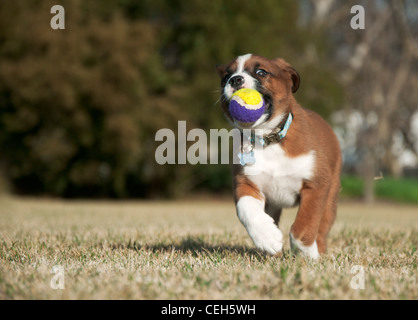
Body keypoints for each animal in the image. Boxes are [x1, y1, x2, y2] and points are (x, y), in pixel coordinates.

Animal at [217, 53, 342, 258]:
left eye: (261, 72)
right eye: (226, 76)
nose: (235, 79)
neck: (268, 139)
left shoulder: (316, 185)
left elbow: (305, 224)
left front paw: (306, 254)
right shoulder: (246, 184)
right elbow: (245, 208)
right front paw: (267, 238)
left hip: (330, 197)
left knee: (322, 228)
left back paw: (319, 253)